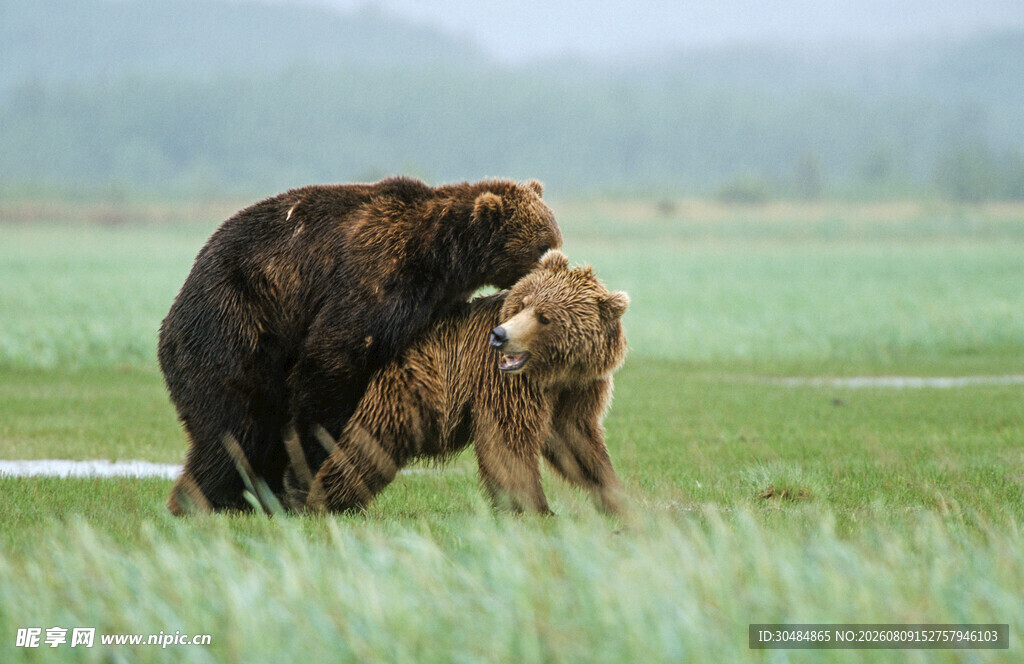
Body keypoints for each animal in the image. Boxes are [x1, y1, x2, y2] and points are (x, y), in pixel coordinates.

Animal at [159, 176, 562, 514]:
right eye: (542, 245)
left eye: (554, 238)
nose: (559, 262)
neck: (442, 258)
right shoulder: (376, 276)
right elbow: (332, 361)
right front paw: (308, 469)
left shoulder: (434, 301)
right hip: (235, 326)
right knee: (236, 425)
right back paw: (207, 498)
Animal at [283, 249, 630, 516]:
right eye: (522, 304)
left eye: (545, 317)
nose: (500, 336)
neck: (552, 371)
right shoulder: (504, 381)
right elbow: (507, 438)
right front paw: (534, 508)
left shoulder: (580, 386)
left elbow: (576, 440)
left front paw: (616, 500)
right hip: (398, 387)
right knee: (366, 443)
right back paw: (322, 501)